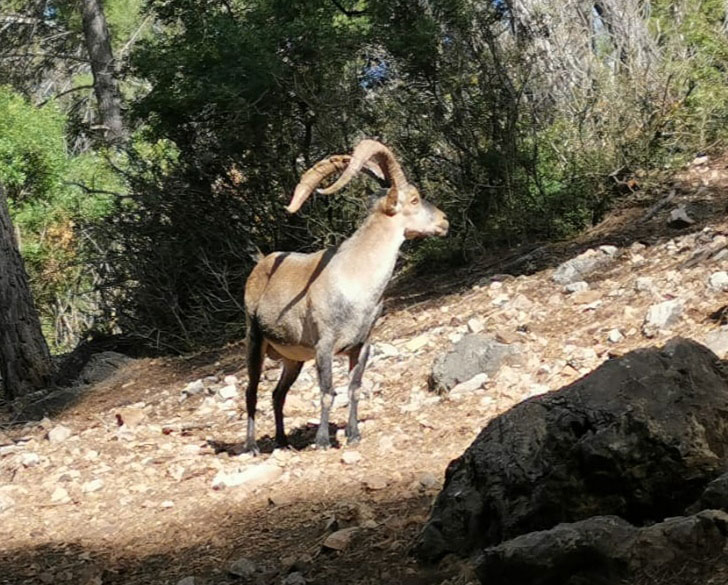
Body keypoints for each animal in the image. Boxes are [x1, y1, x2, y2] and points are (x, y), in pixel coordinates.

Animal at [245, 140, 450, 452]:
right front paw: (322, 441)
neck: (355, 280)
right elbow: (328, 392)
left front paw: (353, 434)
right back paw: (251, 446)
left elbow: (354, 388)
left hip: (293, 358)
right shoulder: (324, 345)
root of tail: (260, 265)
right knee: (251, 392)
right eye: (414, 200)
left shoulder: (361, 344)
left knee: (278, 394)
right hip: (255, 340)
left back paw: (282, 441)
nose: (444, 221)